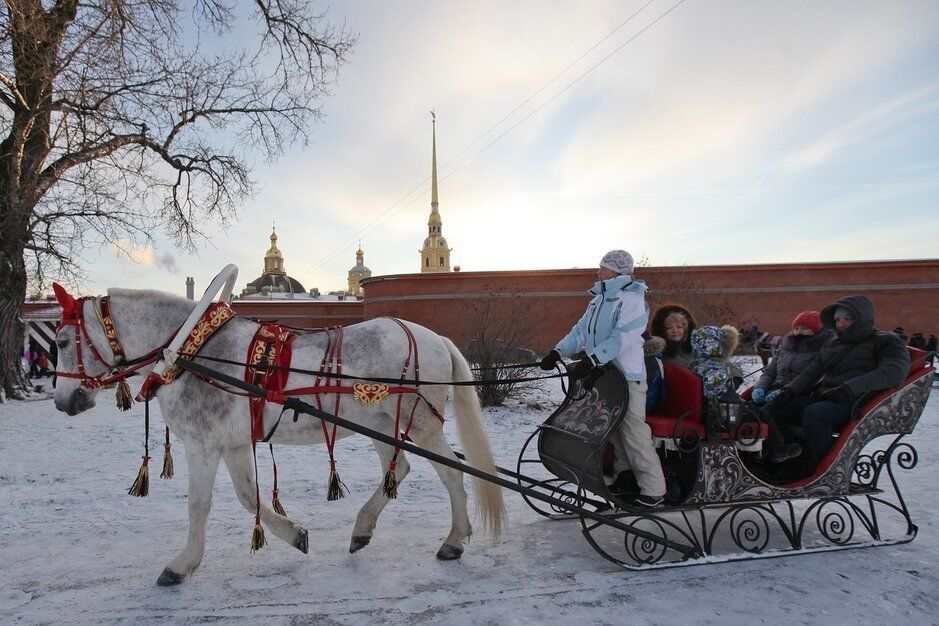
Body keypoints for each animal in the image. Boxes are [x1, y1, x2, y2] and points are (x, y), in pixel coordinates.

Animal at [51, 286, 506, 584]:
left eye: (61, 340)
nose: (62, 401)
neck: (193, 351)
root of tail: (436, 337)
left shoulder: (203, 445)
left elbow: (198, 506)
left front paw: (182, 564)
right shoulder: (235, 443)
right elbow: (248, 497)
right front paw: (295, 535)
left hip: (420, 423)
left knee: (452, 474)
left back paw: (454, 540)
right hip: (381, 425)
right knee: (401, 470)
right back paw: (362, 528)